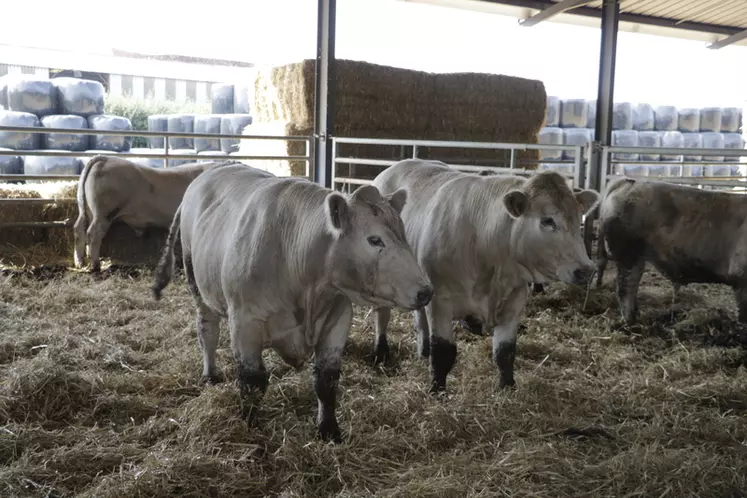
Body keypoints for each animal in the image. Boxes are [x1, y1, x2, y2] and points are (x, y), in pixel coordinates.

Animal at [74, 156, 235, 272]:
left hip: (86, 210)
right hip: (103, 213)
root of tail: (105, 159)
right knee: (93, 233)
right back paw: (95, 265)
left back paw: (80, 262)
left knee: (78, 229)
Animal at [150, 161, 432, 442]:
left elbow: (326, 382)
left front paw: (329, 430)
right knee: (207, 331)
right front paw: (249, 426)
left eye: (403, 234)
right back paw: (210, 374)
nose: (426, 291)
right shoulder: (244, 322)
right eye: (374, 239)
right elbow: (252, 382)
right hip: (197, 285)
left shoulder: (337, 319)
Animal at [372, 160, 600, 392]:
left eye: (578, 219)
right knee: (383, 316)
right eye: (547, 221)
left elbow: (505, 351)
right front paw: (437, 390)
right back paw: (381, 352)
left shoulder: (514, 299)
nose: (587, 269)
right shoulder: (440, 301)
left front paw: (507, 387)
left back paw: (424, 350)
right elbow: (443, 352)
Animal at [600, 177, 747, 324]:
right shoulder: (740, 277)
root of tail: (630, 182)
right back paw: (629, 320)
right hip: (627, 254)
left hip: (636, 257)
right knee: (625, 288)